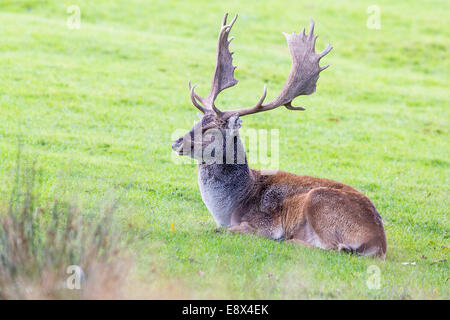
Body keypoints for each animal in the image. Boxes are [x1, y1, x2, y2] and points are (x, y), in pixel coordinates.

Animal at [172, 15, 386, 258]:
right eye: (197, 122)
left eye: (210, 130)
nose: (177, 142)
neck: (232, 206)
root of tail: (378, 243)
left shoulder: (264, 224)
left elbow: (231, 230)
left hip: (318, 200)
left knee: (335, 248)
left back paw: (290, 240)